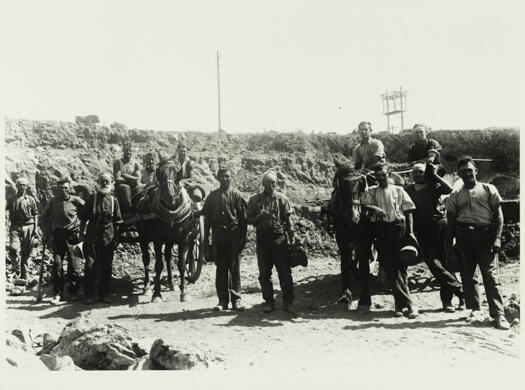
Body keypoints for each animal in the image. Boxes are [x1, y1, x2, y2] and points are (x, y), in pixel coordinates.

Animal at [132, 160, 195, 304]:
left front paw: (184, 292)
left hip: (170, 240)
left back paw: (172, 283)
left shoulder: (183, 238)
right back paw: (147, 286)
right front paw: (156, 293)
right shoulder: (158, 239)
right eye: (160, 175)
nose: (169, 196)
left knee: (168, 257)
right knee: (146, 259)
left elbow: (181, 264)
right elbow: (158, 265)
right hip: (143, 237)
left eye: (177, 174)